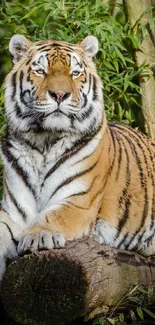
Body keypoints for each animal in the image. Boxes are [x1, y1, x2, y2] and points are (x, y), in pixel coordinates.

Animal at [0, 34, 155, 280]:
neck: (43, 141)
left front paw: (36, 236)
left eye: (75, 73)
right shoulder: (14, 211)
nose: (60, 95)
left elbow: (52, 216)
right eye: (41, 71)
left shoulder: (79, 201)